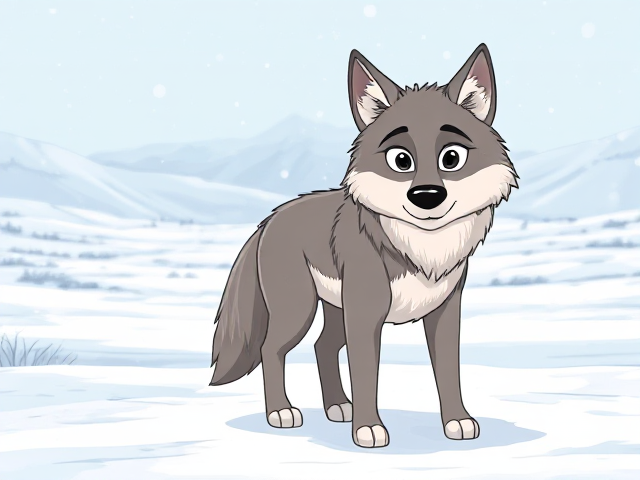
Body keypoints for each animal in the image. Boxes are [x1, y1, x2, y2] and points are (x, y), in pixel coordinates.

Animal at [210, 43, 518, 448]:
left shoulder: (444, 313)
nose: (427, 196)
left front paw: (457, 421)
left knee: (322, 346)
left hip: (335, 310)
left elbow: (449, 372)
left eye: (451, 158)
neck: (421, 250)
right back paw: (281, 412)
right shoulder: (365, 317)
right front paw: (368, 429)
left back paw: (338, 407)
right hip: (300, 310)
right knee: (270, 349)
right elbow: (367, 374)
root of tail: (270, 219)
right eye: (401, 160)